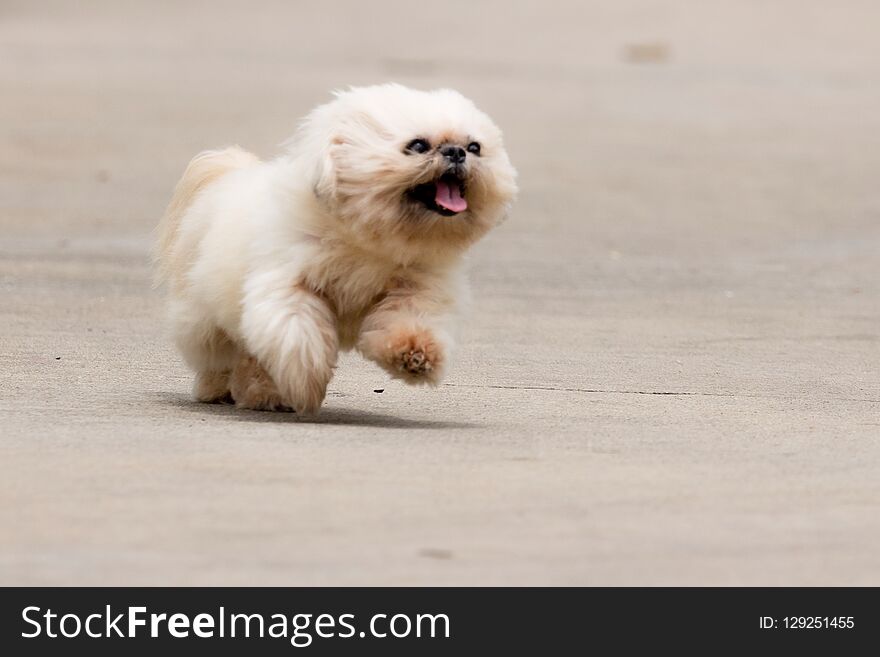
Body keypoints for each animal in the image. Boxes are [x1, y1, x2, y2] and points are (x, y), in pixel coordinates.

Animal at [156, 84, 516, 412]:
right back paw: (219, 390)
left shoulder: (418, 287)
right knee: (220, 356)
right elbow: (299, 334)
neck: (368, 238)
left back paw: (260, 393)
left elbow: (410, 320)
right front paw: (306, 384)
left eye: (475, 146)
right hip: (204, 320)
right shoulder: (288, 288)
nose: (457, 152)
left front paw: (414, 354)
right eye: (417, 145)